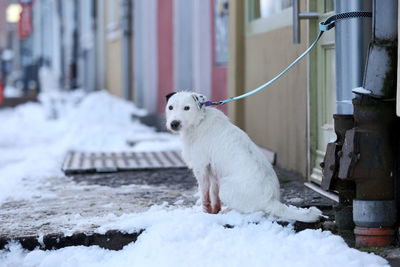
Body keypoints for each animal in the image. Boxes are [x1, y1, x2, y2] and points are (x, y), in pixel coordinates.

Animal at [165, 91, 322, 223]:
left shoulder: (201, 167)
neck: (199, 121)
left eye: (187, 108)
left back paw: (229, 212)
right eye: (170, 107)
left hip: (226, 188)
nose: (174, 124)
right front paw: (214, 211)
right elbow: (213, 195)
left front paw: (205, 213)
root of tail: (271, 201)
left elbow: (204, 195)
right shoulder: (213, 171)